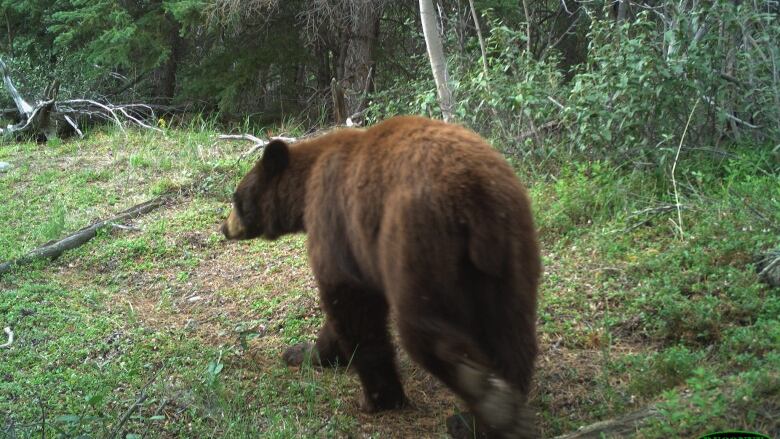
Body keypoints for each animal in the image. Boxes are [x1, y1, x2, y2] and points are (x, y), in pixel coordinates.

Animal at [222, 115, 544, 438]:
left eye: (236, 198)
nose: (224, 228)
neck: (306, 185)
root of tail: (475, 194)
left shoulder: (337, 220)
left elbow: (350, 302)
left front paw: (379, 397)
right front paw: (304, 352)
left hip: (418, 239)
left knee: (423, 325)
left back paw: (484, 399)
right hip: (511, 252)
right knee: (511, 329)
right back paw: (487, 415)